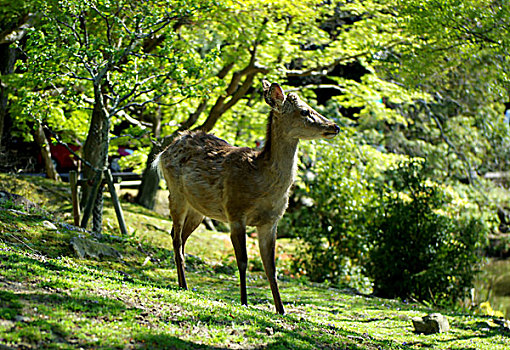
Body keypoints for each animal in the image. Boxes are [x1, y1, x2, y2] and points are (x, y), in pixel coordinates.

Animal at [154, 80, 338, 314]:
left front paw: (281, 309)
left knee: (180, 238)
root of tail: (163, 152)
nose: (334, 126)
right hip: (176, 193)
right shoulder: (235, 212)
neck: (261, 181)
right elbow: (242, 261)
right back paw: (184, 285)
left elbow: (271, 267)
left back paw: (182, 283)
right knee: (176, 238)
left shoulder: (271, 222)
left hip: (199, 209)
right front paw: (244, 301)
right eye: (305, 111)